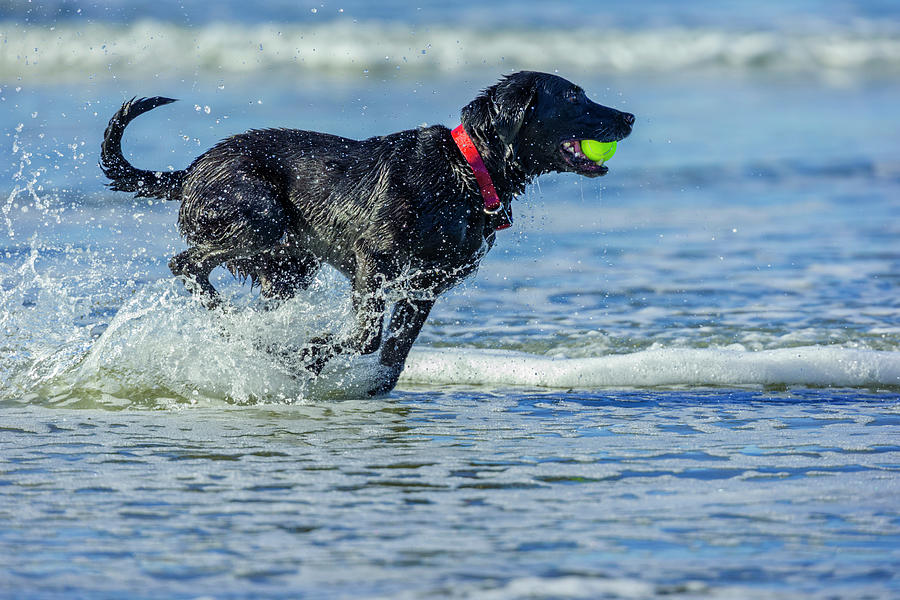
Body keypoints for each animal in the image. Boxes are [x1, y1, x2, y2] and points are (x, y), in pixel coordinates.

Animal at [102, 71, 632, 394]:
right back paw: (238, 328)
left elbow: (392, 357)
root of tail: (191, 170)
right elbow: (363, 337)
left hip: (288, 267)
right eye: (573, 97)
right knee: (185, 263)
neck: (464, 170)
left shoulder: (425, 287)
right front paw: (306, 353)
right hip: (260, 220)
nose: (629, 117)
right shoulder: (373, 262)